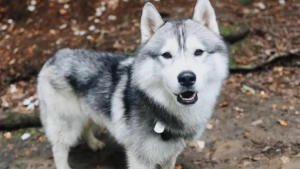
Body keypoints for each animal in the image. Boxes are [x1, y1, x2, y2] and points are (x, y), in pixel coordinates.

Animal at [38, 0, 227, 168]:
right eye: (166, 55)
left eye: (198, 52)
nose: (187, 78)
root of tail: (55, 56)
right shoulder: (140, 160)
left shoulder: (170, 155)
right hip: (67, 126)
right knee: (59, 150)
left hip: (89, 111)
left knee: (86, 128)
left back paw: (94, 144)